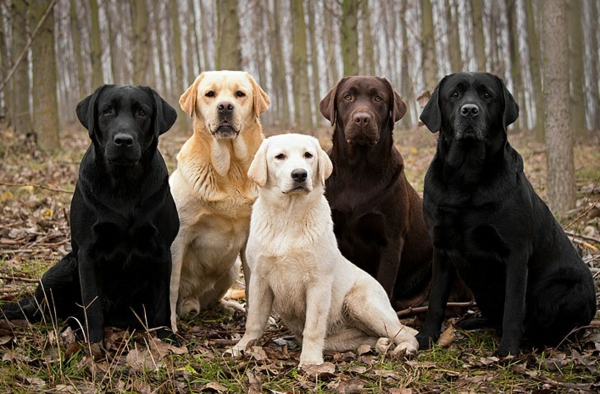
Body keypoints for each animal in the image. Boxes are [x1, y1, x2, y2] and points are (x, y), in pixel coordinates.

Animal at [1, 84, 179, 344]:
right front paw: (95, 344)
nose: (123, 141)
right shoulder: (87, 252)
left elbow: (162, 303)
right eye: (107, 111)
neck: (124, 184)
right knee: (41, 310)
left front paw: (167, 338)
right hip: (62, 270)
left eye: (142, 113)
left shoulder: (161, 251)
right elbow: (92, 305)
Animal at [170, 71, 270, 330]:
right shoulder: (178, 237)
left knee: (212, 301)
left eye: (240, 94)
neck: (231, 168)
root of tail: (191, 300)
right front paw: (169, 327)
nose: (225, 107)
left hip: (232, 268)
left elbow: (253, 287)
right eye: (210, 94)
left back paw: (229, 307)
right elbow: (170, 287)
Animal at [230, 134, 418, 368]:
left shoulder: (318, 283)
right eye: (280, 156)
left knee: (407, 331)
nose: (300, 174)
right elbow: (254, 320)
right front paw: (242, 347)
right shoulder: (259, 279)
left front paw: (310, 361)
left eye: (308, 155)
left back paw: (405, 349)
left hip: (359, 301)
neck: (289, 217)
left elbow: (313, 326)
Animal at [414, 71, 596, 358]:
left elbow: (513, 307)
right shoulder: (441, 247)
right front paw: (426, 337)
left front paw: (508, 351)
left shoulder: (516, 252)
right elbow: (436, 300)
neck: (466, 176)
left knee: (559, 328)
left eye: (487, 95)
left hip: (560, 291)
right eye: (454, 94)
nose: (470, 110)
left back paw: (533, 340)